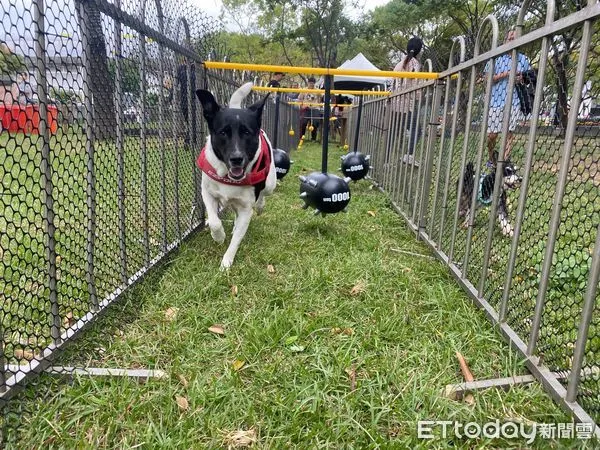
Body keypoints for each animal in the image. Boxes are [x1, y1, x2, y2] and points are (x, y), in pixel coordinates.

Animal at [197, 82, 276, 268]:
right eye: (223, 132)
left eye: (247, 132)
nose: (237, 158)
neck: (228, 176)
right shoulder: (207, 193)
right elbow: (215, 221)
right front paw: (219, 237)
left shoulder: (246, 209)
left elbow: (237, 238)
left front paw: (227, 261)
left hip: (271, 183)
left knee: (263, 194)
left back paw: (260, 206)